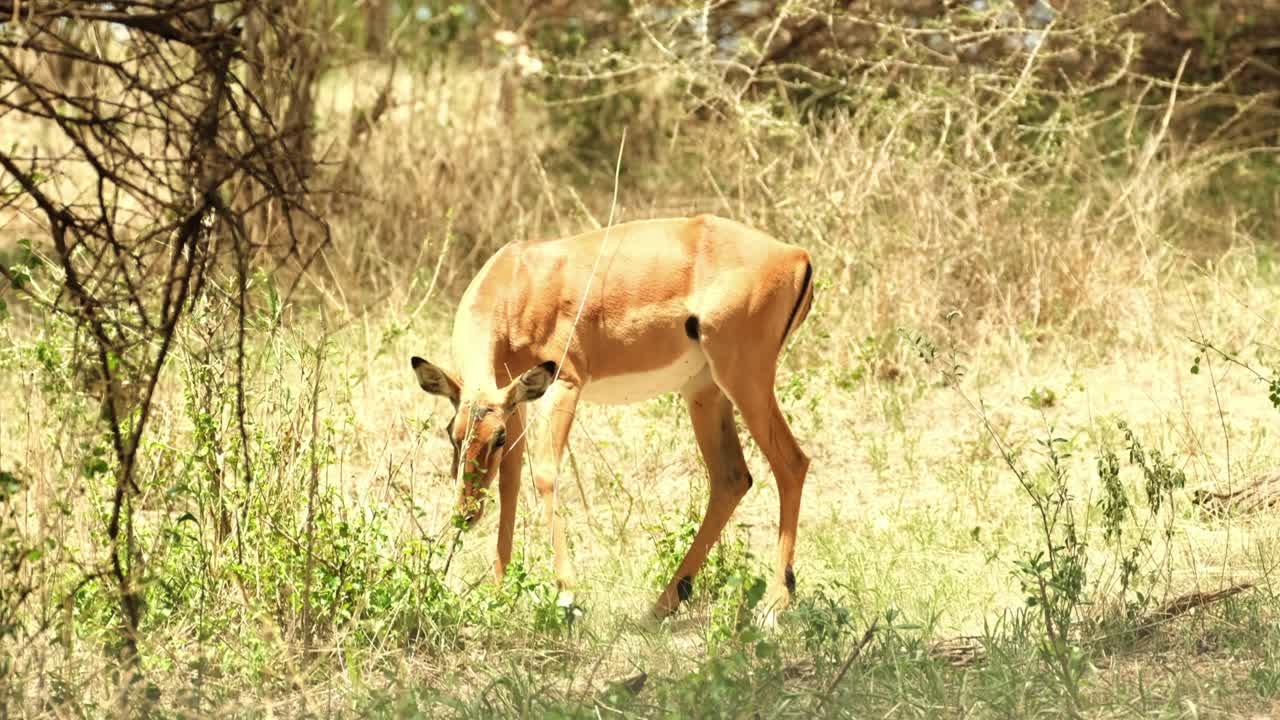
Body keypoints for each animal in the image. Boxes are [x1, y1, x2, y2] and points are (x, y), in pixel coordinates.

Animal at [411, 214, 814, 618]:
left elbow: (544, 473)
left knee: (792, 463)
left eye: (497, 438)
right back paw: (661, 606)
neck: (516, 280)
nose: (465, 514)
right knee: (732, 478)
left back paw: (774, 603)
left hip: (744, 380)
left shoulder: (565, 382)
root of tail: (797, 255)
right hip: (704, 392)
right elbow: (511, 481)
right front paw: (497, 591)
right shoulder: (516, 399)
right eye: (452, 433)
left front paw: (568, 594)